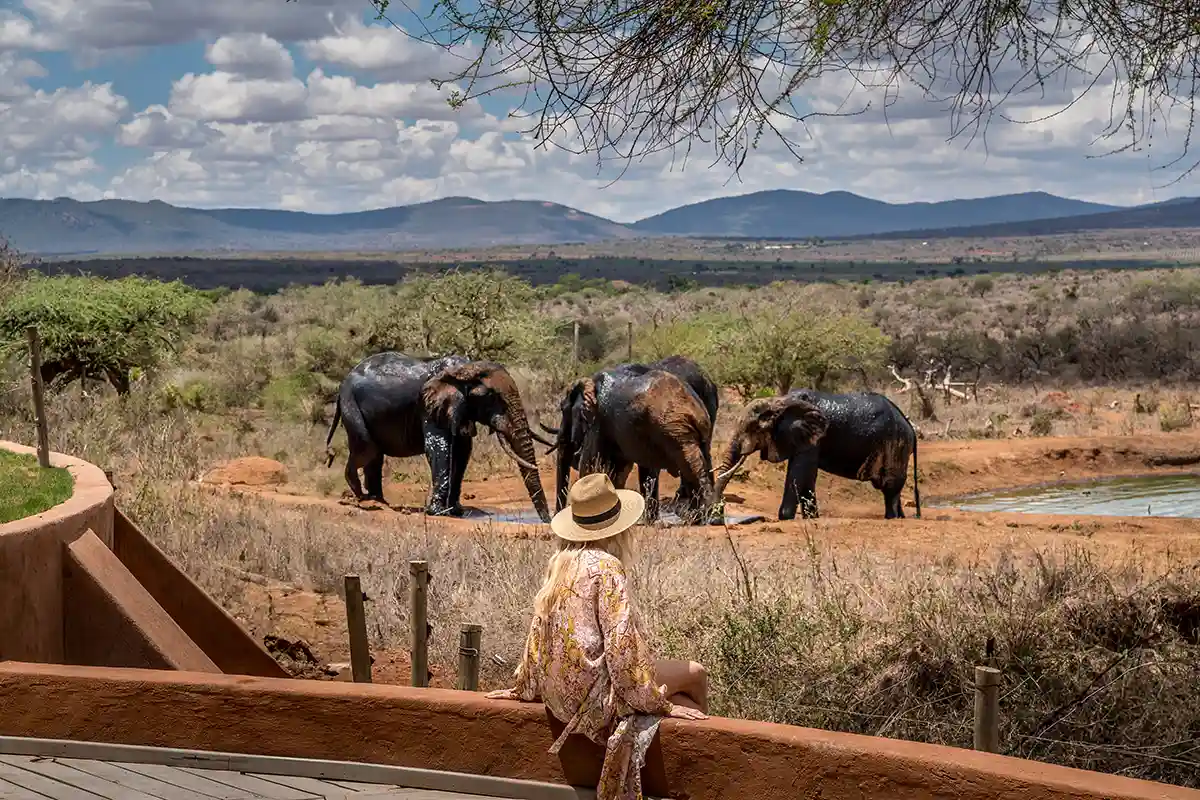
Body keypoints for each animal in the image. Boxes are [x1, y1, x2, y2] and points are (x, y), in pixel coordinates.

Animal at [324, 352, 554, 522]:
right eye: (491, 397)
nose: (547, 521)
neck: (463, 370)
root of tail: (343, 383)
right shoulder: (429, 406)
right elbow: (439, 448)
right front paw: (438, 512)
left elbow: (462, 451)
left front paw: (456, 511)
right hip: (351, 405)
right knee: (367, 448)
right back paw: (362, 498)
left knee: (374, 455)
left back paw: (378, 501)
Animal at [544, 363, 722, 525]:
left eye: (563, 409)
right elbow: (619, 471)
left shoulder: (598, 422)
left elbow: (590, 466)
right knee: (703, 461)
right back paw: (702, 518)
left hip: (675, 430)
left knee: (690, 465)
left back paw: (700, 518)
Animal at [714, 389, 921, 521]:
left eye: (753, 428)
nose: (716, 518)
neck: (778, 401)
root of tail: (910, 425)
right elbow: (807, 479)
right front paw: (812, 518)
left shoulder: (814, 439)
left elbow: (799, 475)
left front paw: (784, 517)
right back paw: (901, 517)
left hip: (896, 444)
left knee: (889, 486)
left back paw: (891, 518)